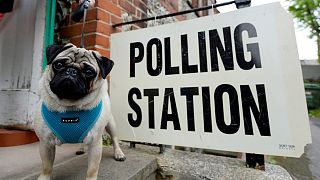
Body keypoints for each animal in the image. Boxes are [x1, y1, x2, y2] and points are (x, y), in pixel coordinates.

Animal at [33, 43, 125, 180]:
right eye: (58, 64)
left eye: (88, 72)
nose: (72, 71)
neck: (70, 106)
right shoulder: (45, 142)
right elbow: (46, 166)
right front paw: (44, 177)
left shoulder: (95, 143)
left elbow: (92, 169)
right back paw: (81, 148)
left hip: (110, 124)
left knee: (114, 138)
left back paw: (119, 153)